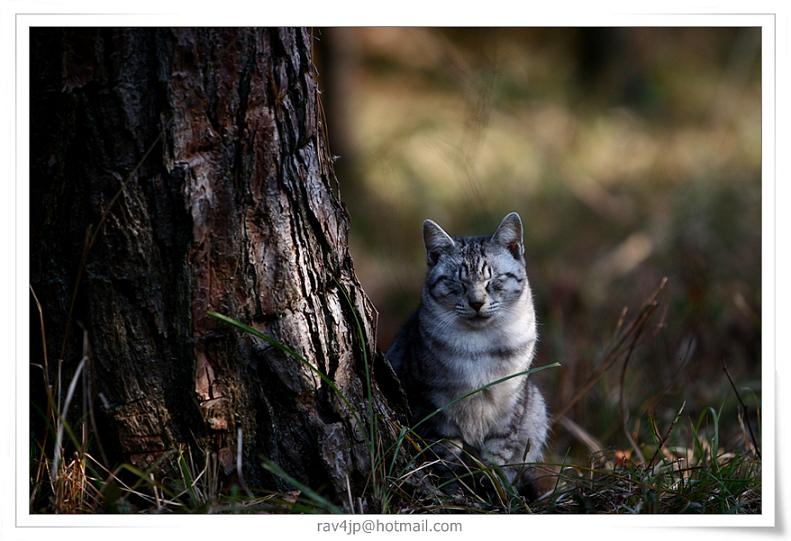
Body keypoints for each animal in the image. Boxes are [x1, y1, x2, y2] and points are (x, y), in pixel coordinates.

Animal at [386, 211, 548, 498]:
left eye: (493, 280)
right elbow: (446, 457)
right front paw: (452, 492)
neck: (480, 346)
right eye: (457, 282)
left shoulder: (509, 407)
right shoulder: (434, 406)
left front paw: (494, 492)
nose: (476, 303)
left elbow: (496, 458)